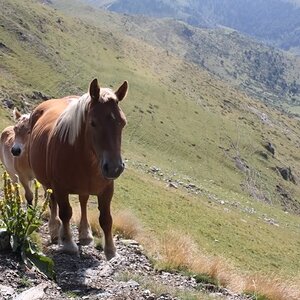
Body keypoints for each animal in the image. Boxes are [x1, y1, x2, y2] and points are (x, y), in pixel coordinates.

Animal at [27, 78, 127, 258]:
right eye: (93, 123)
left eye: (122, 123)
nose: (114, 168)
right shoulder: (60, 188)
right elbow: (65, 212)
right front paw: (68, 242)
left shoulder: (107, 189)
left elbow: (106, 219)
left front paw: (110, 249)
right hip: (47, 182)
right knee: (53, 203)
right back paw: (55, 231)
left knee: (83, 201)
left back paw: (85, 234)